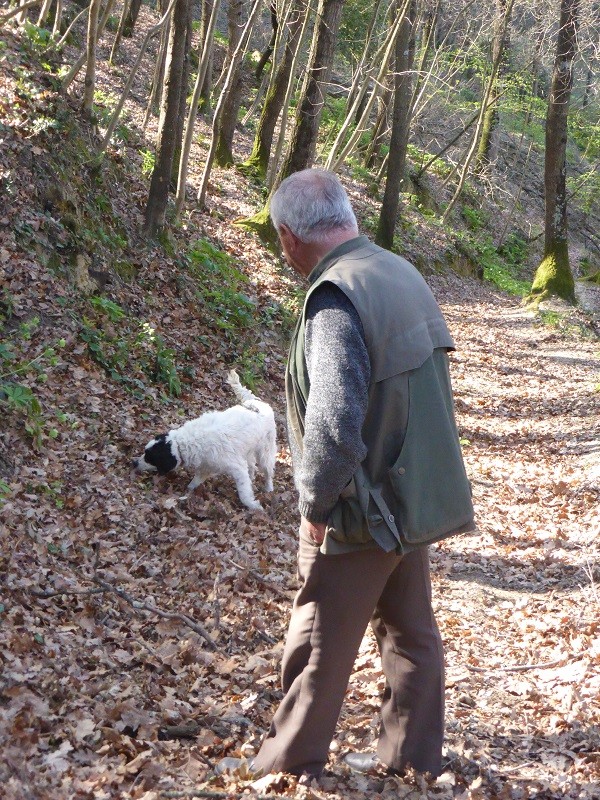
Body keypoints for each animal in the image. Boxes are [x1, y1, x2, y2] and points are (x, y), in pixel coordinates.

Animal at [131, 370, 276, 510]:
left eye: (150, 457)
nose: (134, 463)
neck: (181, 444)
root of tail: (257, 403)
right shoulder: (206, 466)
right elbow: (193, 483)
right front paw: (187, 493)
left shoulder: (237, 468)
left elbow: (244, 495)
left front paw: (254, 506)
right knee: (252, 466)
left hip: (265, 453)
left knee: (267, 471)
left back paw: (269, 489)